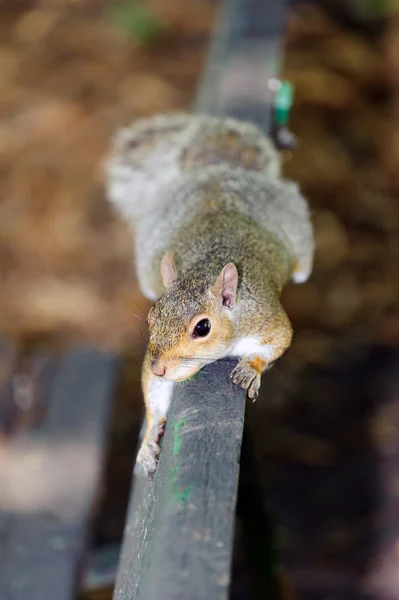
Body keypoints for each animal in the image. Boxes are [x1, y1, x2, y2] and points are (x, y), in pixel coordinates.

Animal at [106, 112, 316, 478]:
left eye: (202, 328)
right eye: (151, 318)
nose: (160, 367)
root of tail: (220, 169)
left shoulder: (266, 318)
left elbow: (279, 340)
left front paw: (249, 369)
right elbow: (155, 393)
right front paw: (148, 439)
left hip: (300, 249)